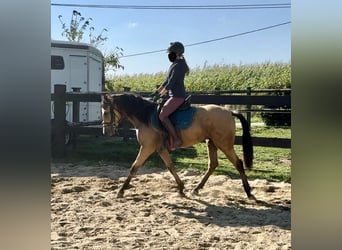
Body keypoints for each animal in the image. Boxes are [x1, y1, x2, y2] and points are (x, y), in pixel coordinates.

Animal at [101, 93, 254, 200]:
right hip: (211, 143)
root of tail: (229, 112)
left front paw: (121, 190)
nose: (106, 132)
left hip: (224, 144)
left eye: (106, 112)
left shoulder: (147, 147)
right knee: (213, 164)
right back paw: (197, 188)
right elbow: (171, 167)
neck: (146, 117)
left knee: (238, 163)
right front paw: (181, 188)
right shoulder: (161, 149)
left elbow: (134, 167)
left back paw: (249, 193)